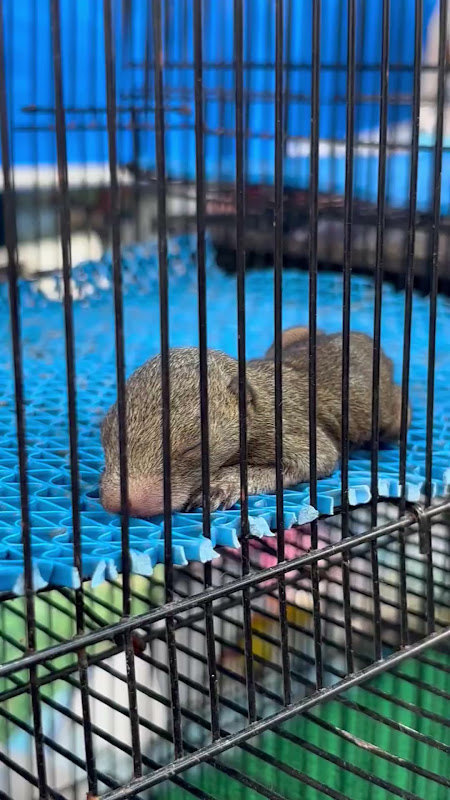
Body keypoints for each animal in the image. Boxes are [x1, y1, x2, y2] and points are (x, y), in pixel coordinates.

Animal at [100, 326, 408, 517]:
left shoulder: (288, 430)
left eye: (194, 447)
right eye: (105, 438)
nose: (120, 502)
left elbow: (316, 460)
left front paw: (222, 484)